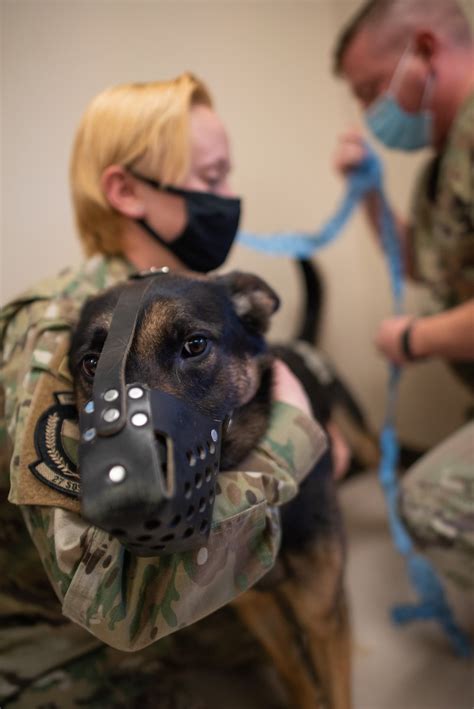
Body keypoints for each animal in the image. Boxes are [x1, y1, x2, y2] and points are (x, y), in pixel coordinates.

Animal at [69, 268, 352, 704]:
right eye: (92, 363)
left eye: (195, 345)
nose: (126, 483)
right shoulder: (259, 611)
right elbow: (293, 672)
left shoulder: (322, 615)